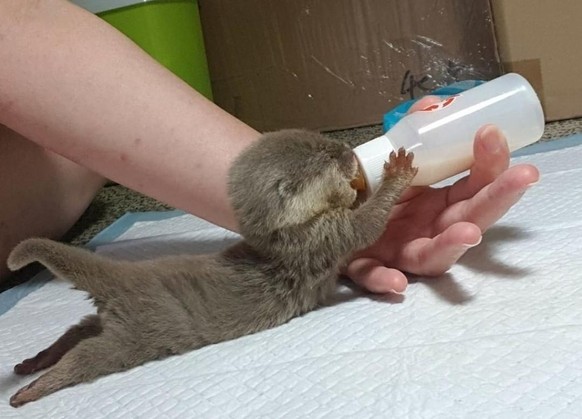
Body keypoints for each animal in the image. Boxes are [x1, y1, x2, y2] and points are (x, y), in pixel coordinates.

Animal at [3, 130, 416, 408]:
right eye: (327, 155)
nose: (348, 151)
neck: (284, 234)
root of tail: (123, 279)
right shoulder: (320, 238)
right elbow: (366, 224)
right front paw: (397, 172)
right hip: (133, 335)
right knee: (86, 356)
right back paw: (33, 388)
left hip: (108, 320)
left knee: (76, 331)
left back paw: (35, 361)